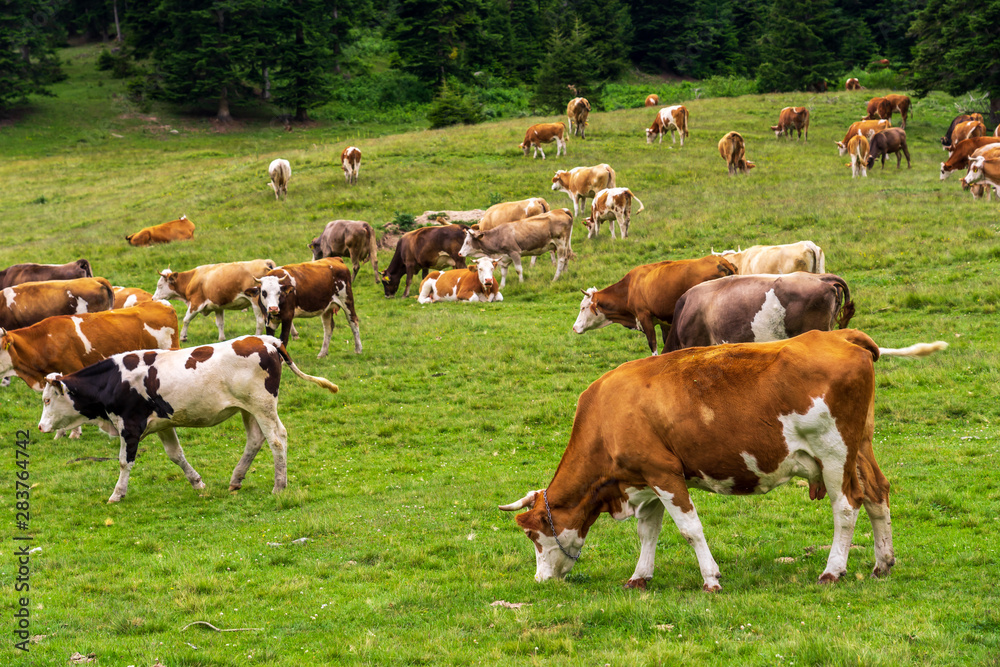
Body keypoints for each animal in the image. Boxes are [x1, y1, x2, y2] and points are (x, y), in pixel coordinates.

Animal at [37, 335, 338, 503]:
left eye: (47, 400)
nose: (41, 426)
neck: (113, 380)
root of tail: (267, 341)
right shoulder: (164, 425)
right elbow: (176, 455)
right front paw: (197, 482)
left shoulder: (130, 427)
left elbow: (124, 462)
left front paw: (117, 494)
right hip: (249, 409)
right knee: (255, 440)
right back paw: (236, 478)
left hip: (263, 406)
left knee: (276, 439)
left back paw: (279, 486)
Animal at [499, 329, 927, 591]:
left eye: (534, 536)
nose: (540, 581)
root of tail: (838, 334)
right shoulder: (645, 478)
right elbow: (648, 531)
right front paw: (640, 577)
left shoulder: (665, 474)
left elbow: (690, 530)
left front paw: (711, 579)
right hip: (861, 448)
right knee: (877, 494)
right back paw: (882, 563)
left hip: (835, 455)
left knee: (847, 507)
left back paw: (833, 570)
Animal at [571, 256, 737, 355]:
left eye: (583, 307)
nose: (574, 327)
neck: (629, 288)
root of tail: (721, 261)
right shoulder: (664, 322)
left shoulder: (644, 317)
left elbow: (653, 345)